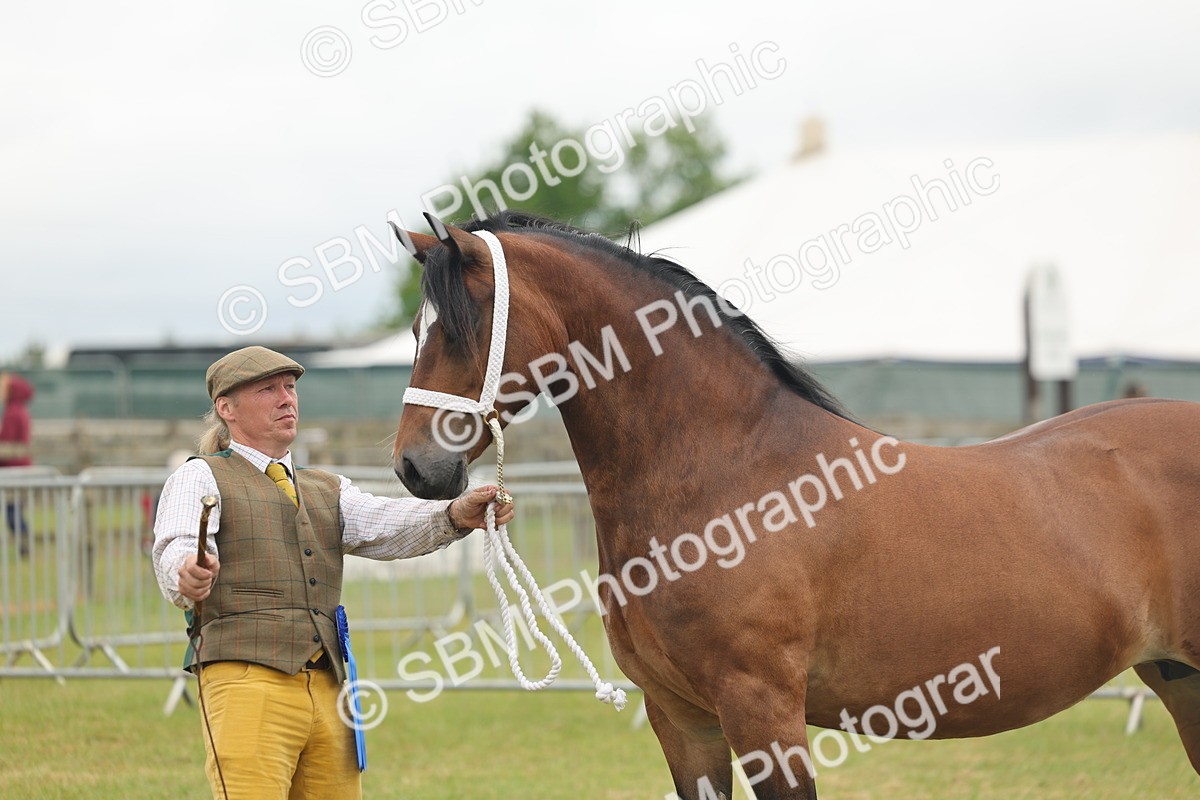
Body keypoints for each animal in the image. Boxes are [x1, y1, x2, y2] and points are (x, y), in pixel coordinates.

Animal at [389, 210, 1200, 799]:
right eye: (416, 329)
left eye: (459, 329)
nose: (415, 467)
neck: (729, 473)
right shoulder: (683, 721)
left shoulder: (763, 713)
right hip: (1178, 677)